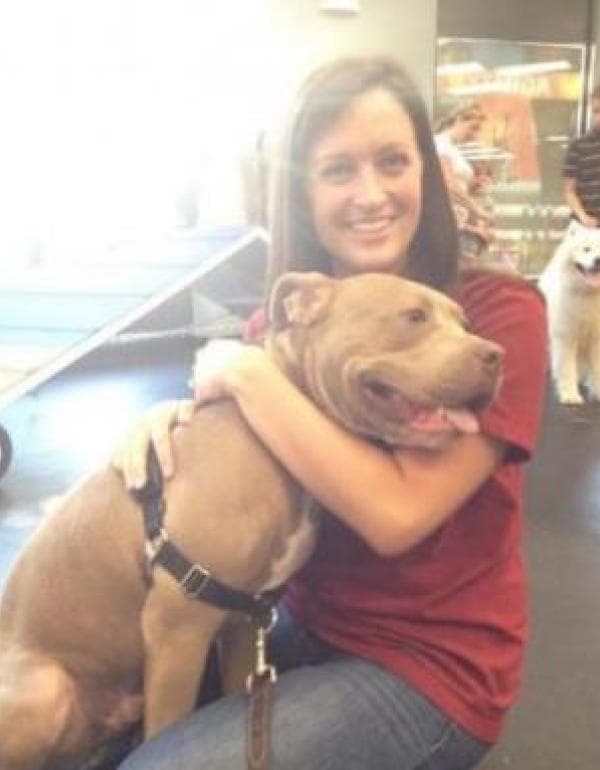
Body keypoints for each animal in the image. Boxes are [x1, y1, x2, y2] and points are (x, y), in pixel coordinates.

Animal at [539, 220, 600, 404]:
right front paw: (570, 395)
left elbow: (597, 368)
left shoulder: (596, 339)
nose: (598, 260)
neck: (589, 295)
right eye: (586, 249)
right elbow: (567, 369)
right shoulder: (566, 337)